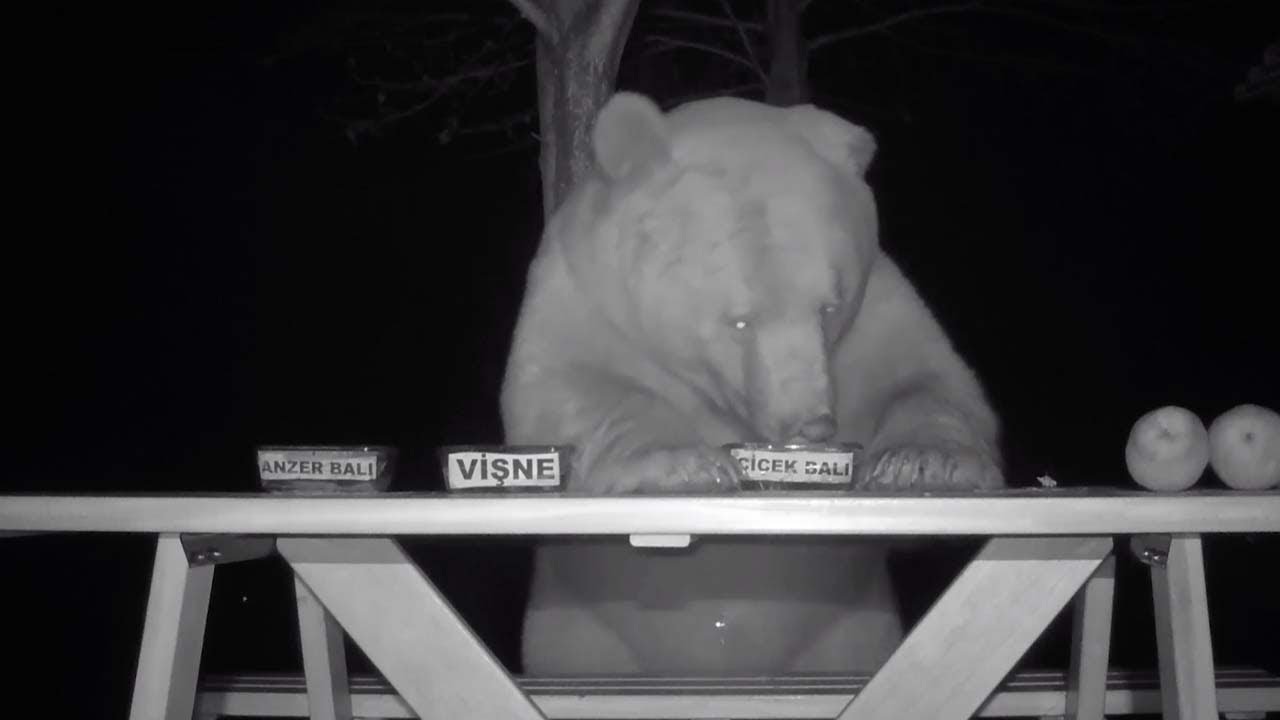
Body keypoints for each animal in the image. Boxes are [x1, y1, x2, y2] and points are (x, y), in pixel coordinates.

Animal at [501, 91, 1004, 677]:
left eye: (827, 307)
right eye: (739, 320)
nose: (811, 425)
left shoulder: (874, 311)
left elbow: (932, 376)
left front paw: (924, 461)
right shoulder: (586, 296)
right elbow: (559, 389)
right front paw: (678, 463)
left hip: (852, 632)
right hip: (580, 634)